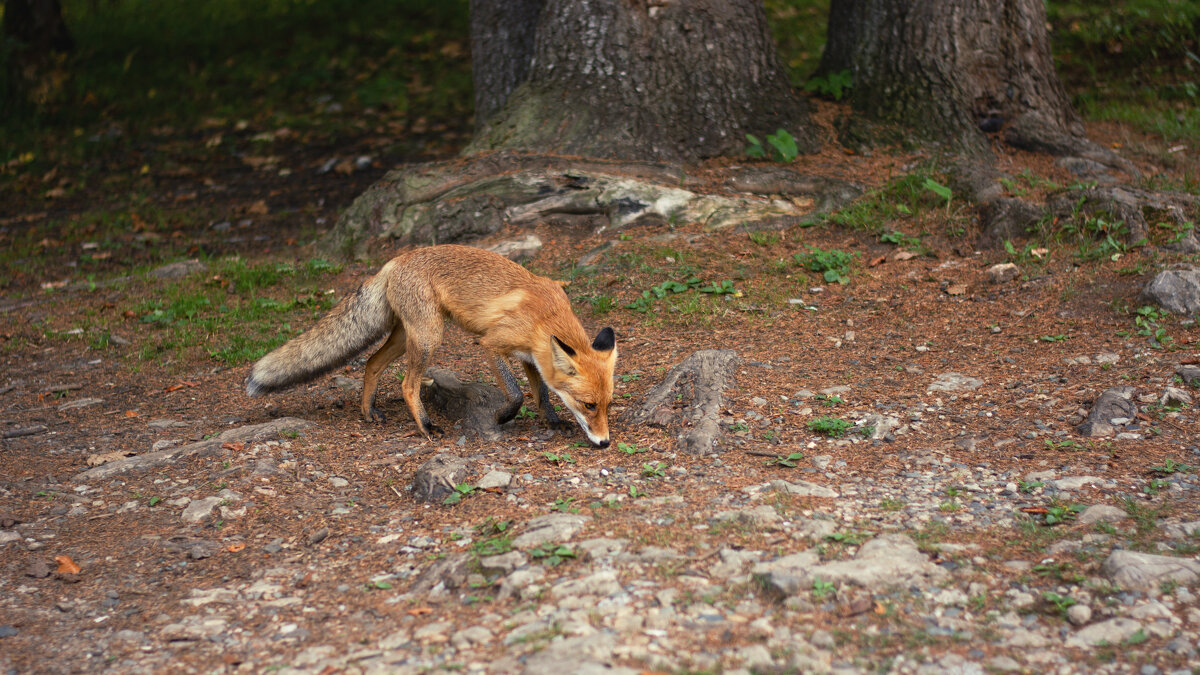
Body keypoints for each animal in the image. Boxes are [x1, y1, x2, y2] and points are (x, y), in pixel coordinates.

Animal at [244, 243, 619, 444]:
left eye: (607, 405)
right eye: (589, 405)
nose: (604, 443)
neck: (545, 318)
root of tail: (396, 260)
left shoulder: (531, 357)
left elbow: (541, 393)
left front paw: (552, 420)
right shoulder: (490, 344)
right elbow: (515, 394)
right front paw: (500, 417)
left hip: (406, 336)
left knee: (372, 364)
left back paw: (368, 412)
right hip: (429, 337)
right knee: (407, 384)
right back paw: (425, 426)